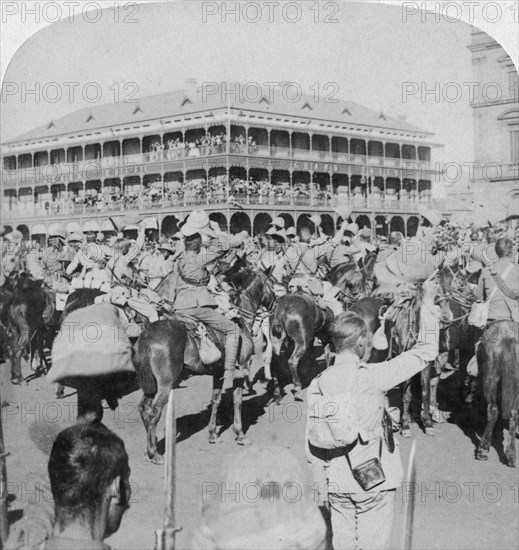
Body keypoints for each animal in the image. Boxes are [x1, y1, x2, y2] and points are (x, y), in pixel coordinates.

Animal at [476, 322, 519, 468]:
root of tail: (508, 337)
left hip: (490, 377)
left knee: (493, 410)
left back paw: (483, 449)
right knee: (513, 414)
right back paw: (511, 456)